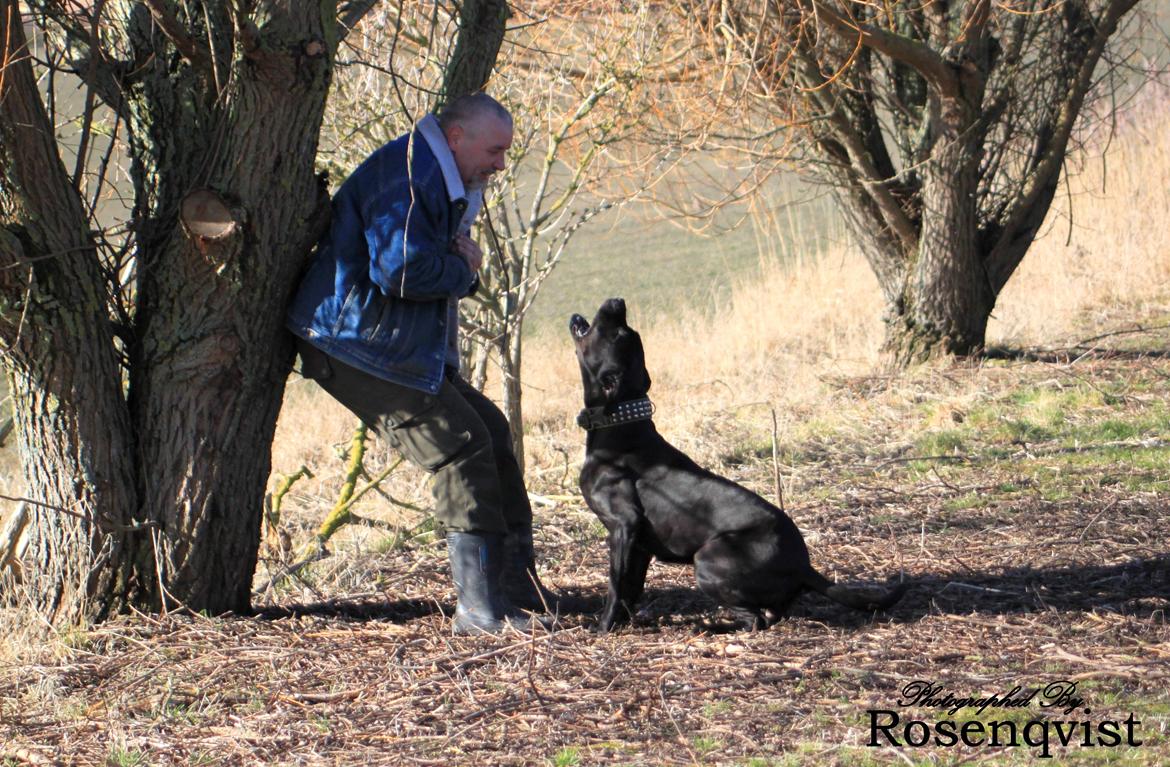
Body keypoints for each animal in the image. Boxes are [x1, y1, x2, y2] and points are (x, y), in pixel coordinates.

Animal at [566, 298, 903, 631]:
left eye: (618, 334)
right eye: (626, 333)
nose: (618, 301)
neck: (621, 422)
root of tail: (805, 567)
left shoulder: (624, 526)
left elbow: (616, 585)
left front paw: (603, 627)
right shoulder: (639, 546)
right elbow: (631, 588)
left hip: (708, 558)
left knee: (754, 621)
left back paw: (709, 626)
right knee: (770, 615)